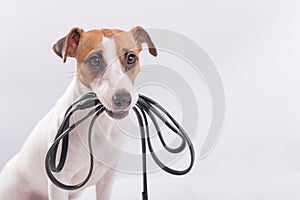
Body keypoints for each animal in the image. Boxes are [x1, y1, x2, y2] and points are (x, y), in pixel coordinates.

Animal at [0, 25, 158, 199]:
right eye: (94, 60)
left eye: (131, 58)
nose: (123, 99)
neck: (98, 125)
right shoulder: (59, 183)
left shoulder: (108, 177)